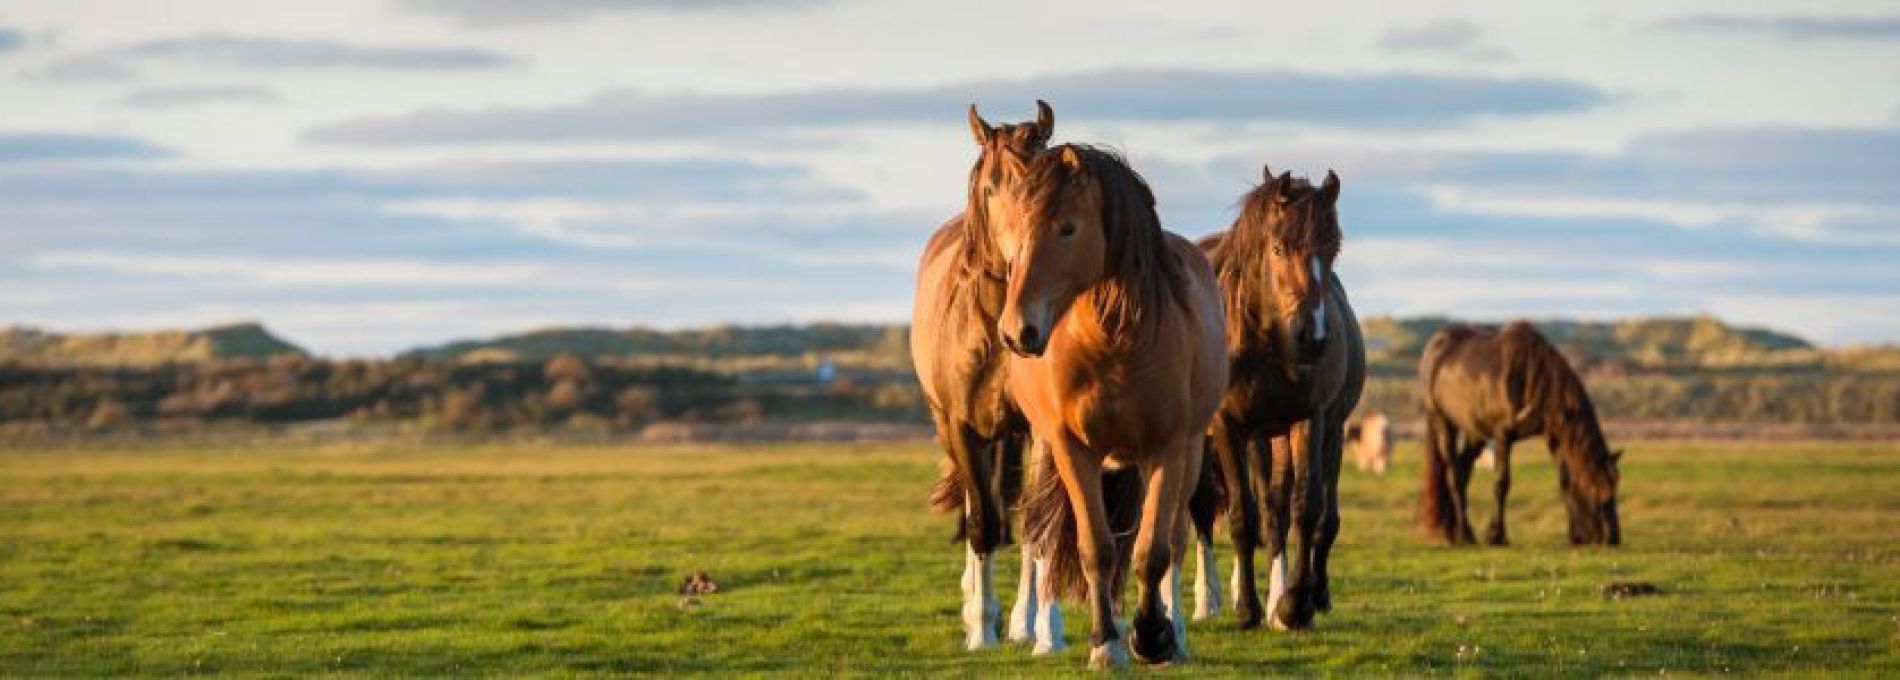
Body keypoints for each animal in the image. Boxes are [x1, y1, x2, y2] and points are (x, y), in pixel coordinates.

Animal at [908, 99, 1056, 649]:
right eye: (991, 187)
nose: (1027, 258)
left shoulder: (1039, 430)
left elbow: (1035, 525)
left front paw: (1039, 629)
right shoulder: (962, 427)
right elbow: (981, 526)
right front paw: (981, 630)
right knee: (979, 513)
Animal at [1003, 144, 1223, 668]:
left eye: (1066, 228)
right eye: (1014, 229)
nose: (1018, 330)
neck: (1111, 342)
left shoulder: (1166, 449)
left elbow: (1153, 551)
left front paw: (1152, 635)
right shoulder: (1072, 449)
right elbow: (1097, 549)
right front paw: (1105, 642)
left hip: (1185, 455)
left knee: (1176, 539)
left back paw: (1174, 632)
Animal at [1193, 166, 1360, 630]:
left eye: (1332, 249)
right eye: (1279, 247)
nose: (1313, 338)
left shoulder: (1310, 421)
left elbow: (1305, 509)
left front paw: (1294, 605)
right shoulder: (1228, 429)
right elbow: (1241, 518)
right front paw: (1247, 608)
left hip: (1299, 435)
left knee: (1295, 513)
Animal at [1421, 321, 1626, 547]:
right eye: (1594, 488)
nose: (1612, 537)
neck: (1533, 376)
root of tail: (1436, 345)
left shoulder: (1554, 437)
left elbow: (1565, 481)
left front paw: (1575, 534)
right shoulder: (1503, 435)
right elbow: (1501, 483)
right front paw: (1496, 535)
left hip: (1474, 431)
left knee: (1463, 468)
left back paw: (1458, 531)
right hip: (1441, 420)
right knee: (1454, 474)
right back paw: (1465, 535)